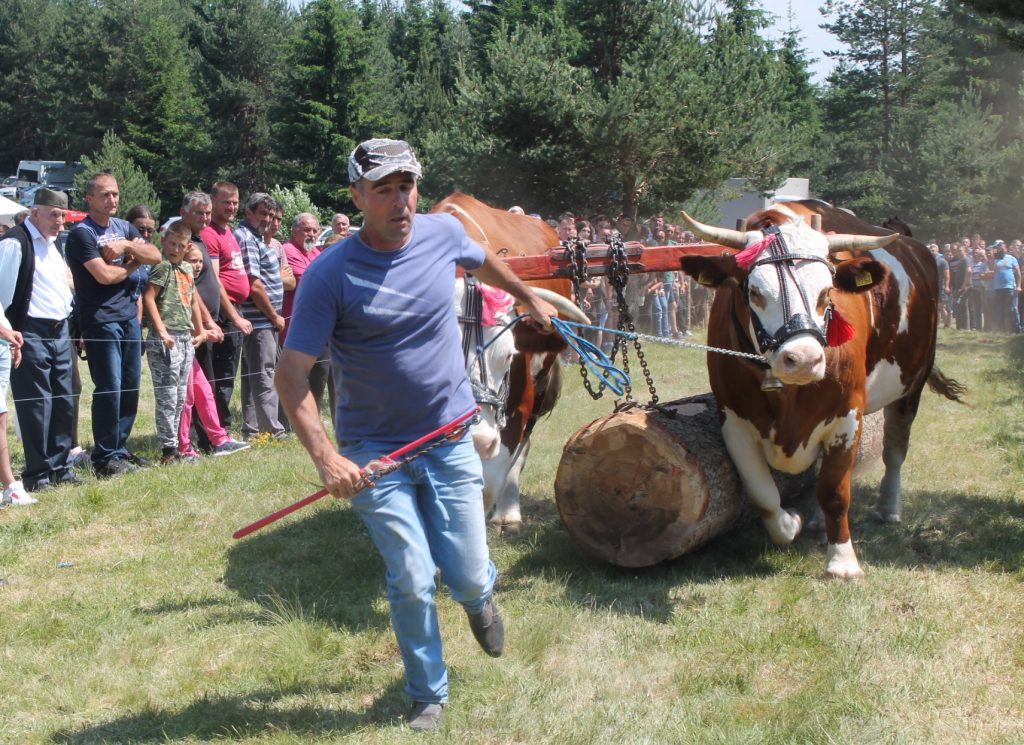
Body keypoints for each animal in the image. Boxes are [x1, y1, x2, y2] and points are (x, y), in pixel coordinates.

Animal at [677, 200, 964, 579]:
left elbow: (835, 492)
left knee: (894, 450)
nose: (803, 359)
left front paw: (843, 562)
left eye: (827, 293)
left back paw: (888, 507)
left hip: (911, 385)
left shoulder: (847, 416)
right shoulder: (734, 421)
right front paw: (793, 522)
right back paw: (814, 520)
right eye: (754, 292)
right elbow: (764, 496)